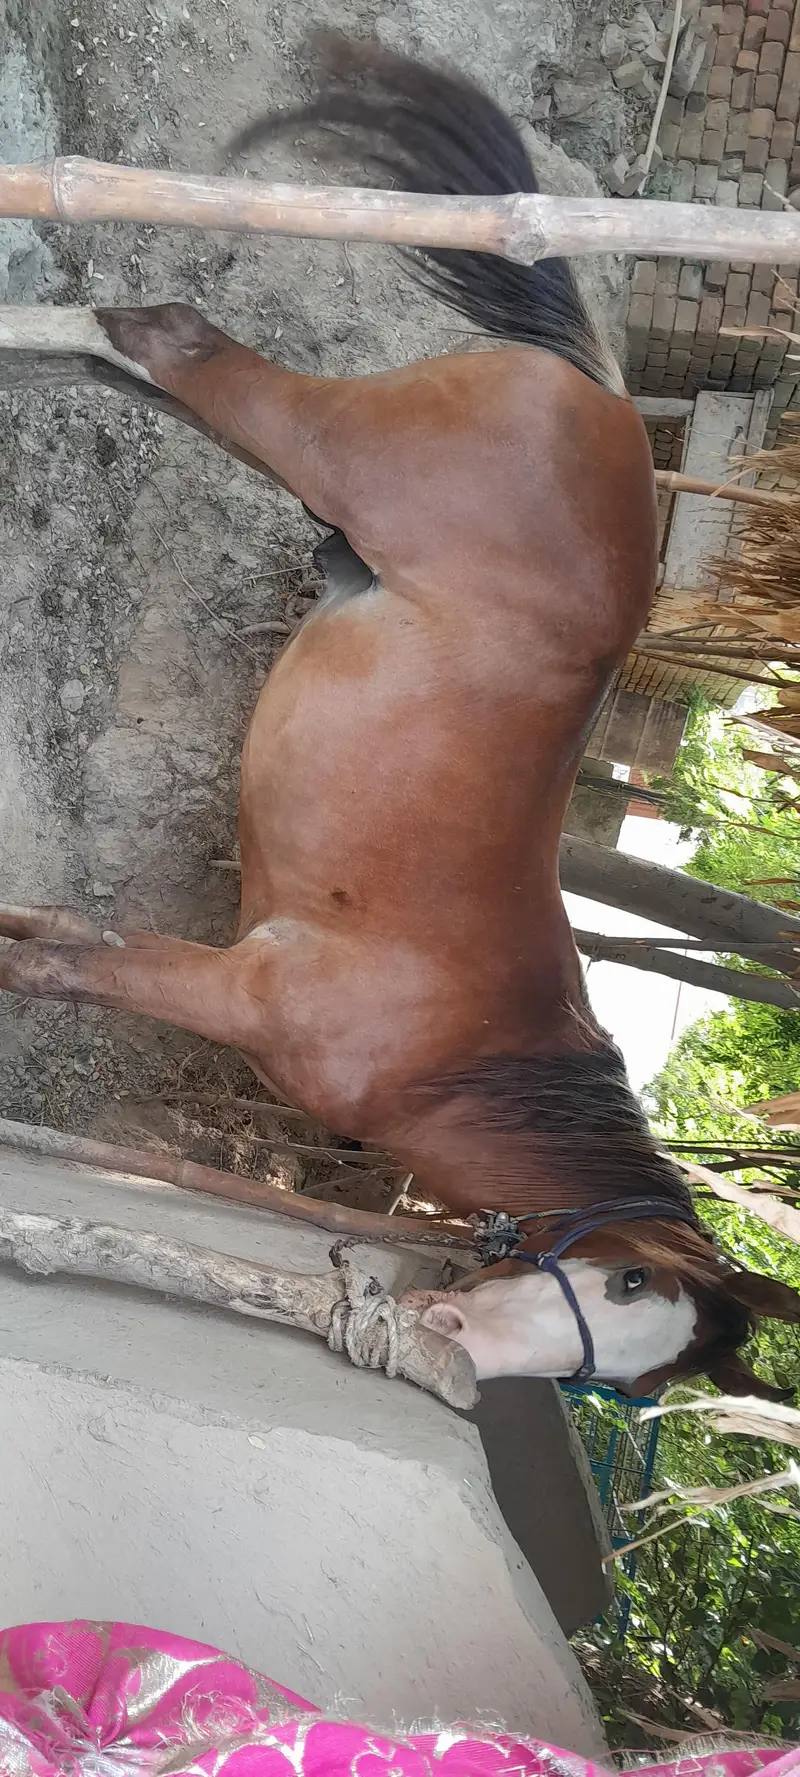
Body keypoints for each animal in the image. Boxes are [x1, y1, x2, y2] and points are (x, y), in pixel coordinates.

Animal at [2, 35, 799, 1398]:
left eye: (627, 1381)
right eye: (624, 1282)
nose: (457, 1344)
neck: (460, 1050)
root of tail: (602, 396)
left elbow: (45, 930)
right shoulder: (228, 987)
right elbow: (52, 966)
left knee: (128, 358)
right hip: (324, 444)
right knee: (165, 339)